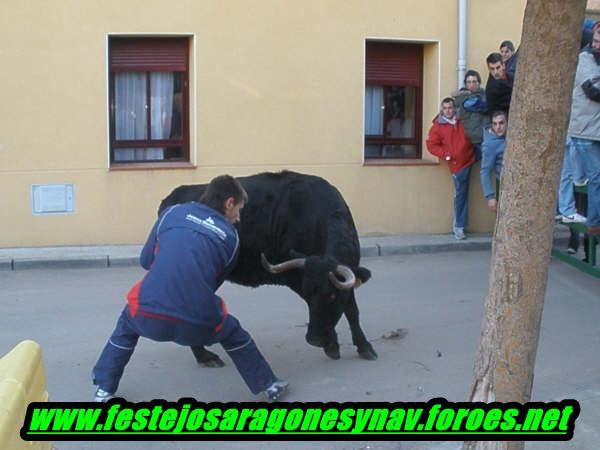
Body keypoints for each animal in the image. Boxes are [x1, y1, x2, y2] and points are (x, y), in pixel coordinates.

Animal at [159, 170, 376, 366]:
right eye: (309, 294)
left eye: (331, 295)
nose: (313, 339)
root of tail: (171, 198)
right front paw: (332, 345)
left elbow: (351, 310)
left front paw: (363, 346)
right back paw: (204, 356)